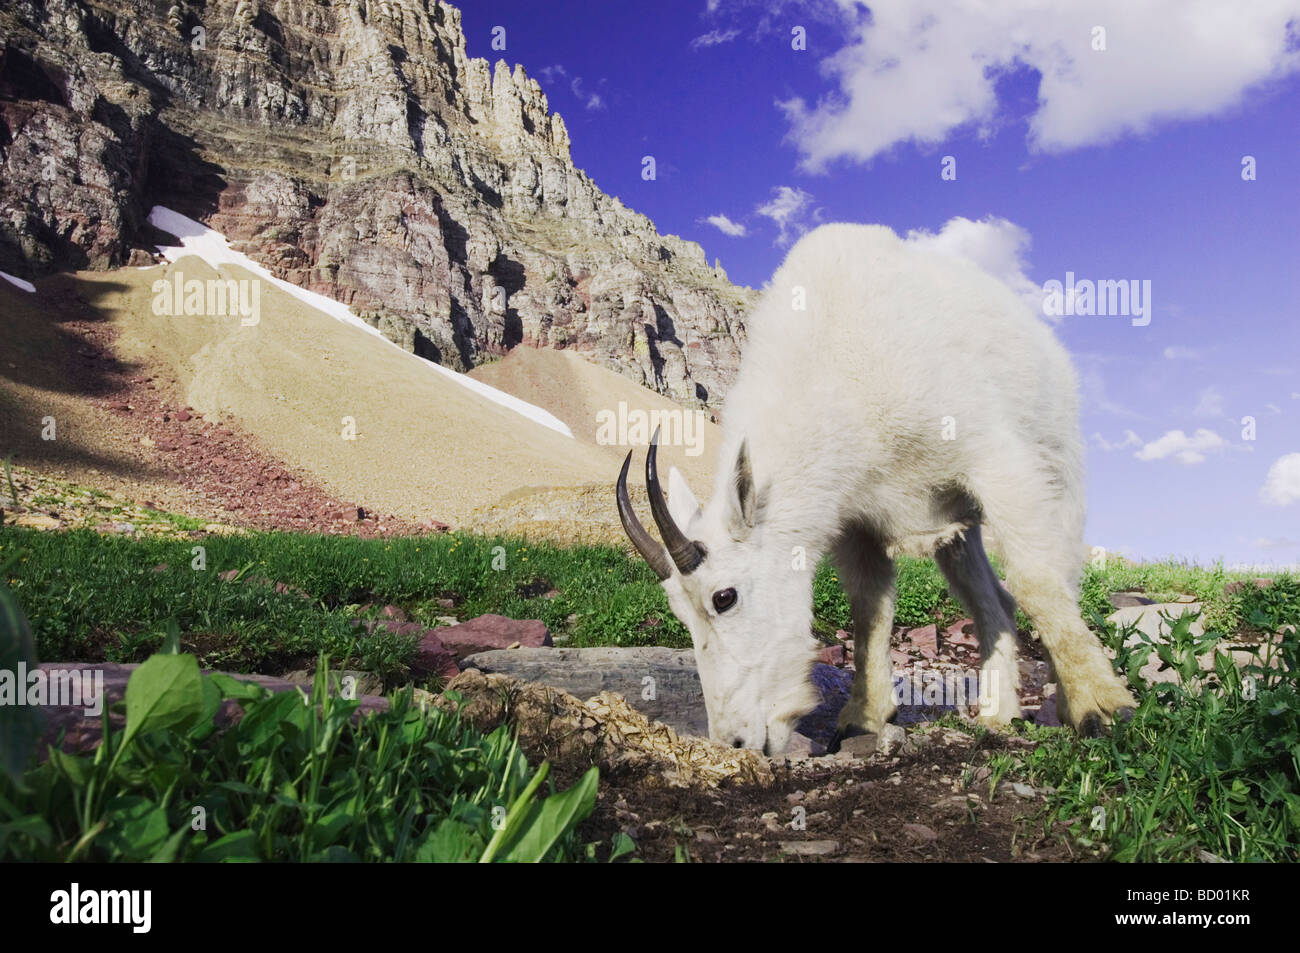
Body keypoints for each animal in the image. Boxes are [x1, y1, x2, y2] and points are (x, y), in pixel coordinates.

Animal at [616, 223, 1136, 755]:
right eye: (679, 611)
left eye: (724, 597)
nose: (733, 741)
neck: (841, 373)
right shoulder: (854, 522)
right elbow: (869, 611)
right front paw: (863, 717)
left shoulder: (995, 461)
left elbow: (1037, 581)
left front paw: (1101, 706)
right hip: (960, 528)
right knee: (990, 599)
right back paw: (998, 713)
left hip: (1059, 466)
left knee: (1059, 574)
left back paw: (1067, 698)